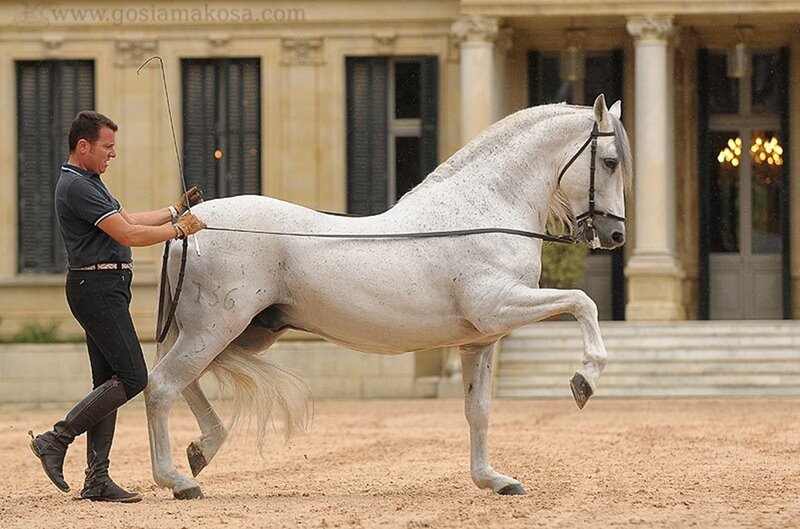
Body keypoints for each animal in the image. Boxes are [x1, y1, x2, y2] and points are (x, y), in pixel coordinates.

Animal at [145, 94, 632, 500]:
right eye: (609, 162)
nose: (615, 236)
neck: (484, 212)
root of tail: (185, 227)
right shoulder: (500, 307)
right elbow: (581, 301)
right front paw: (585, 379)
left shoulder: (479, 340)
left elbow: (478, 411)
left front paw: (493, 480)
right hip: (214, 329)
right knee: (162, 387)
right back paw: (178, 481)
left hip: (240, 333)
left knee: (182, 382)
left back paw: (202, 450)